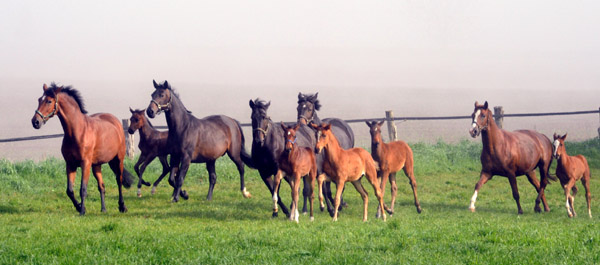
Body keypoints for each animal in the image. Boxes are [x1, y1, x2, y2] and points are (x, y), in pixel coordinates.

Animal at [30, 82, 132, 214]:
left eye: (49, 101)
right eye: (39, 99)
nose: (35, 122)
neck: (77, 131)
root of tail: (115, 122)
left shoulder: (85, 164)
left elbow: (83, 188)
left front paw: (82, 210)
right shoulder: (70, 164)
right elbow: (69, 190)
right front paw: (79, 206)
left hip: (118, 160)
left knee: (119, 181)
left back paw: (122, 206)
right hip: (96, 165)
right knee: (102, 186)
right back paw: (103, 209)